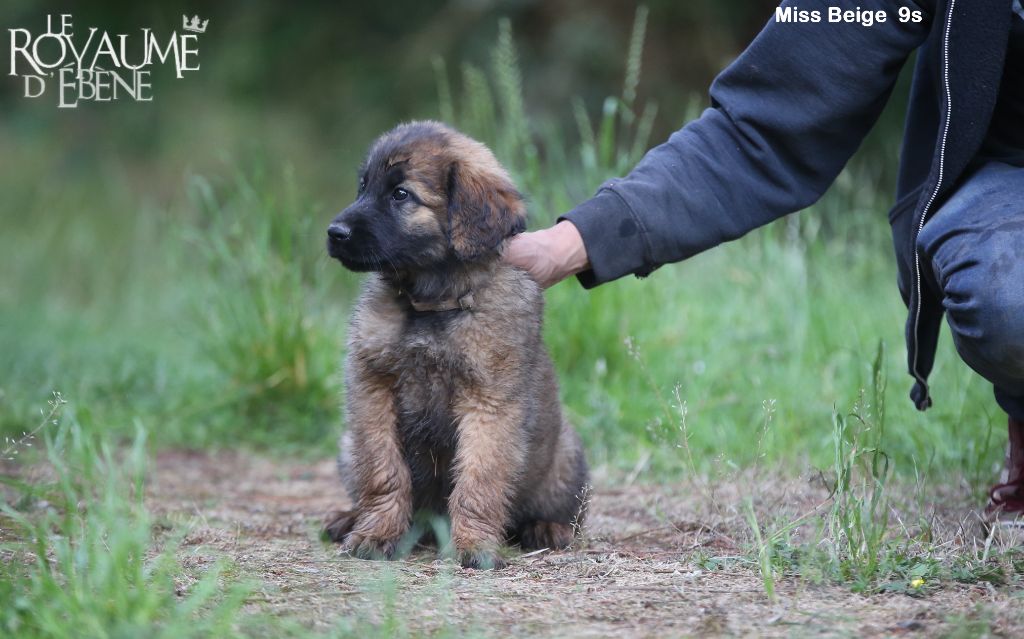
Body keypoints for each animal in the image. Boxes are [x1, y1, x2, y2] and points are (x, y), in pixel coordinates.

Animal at [322, 121, 589, 569]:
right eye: (362, 186)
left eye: (400, 194)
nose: (334, 234)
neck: (431, 303)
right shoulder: (371, 389)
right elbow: (383, 469)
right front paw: (377, 533)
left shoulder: (489, 402)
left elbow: (480, 476)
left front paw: (474, 544)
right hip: (346, 445)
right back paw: (347, 517)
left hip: (566, 456)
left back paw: (546, 528)